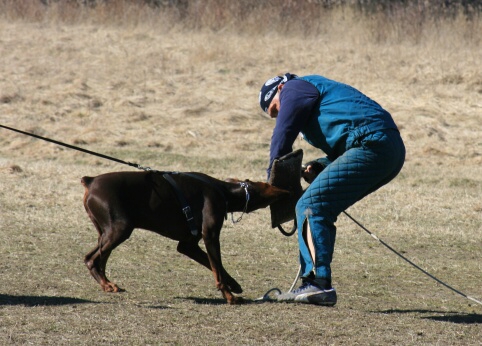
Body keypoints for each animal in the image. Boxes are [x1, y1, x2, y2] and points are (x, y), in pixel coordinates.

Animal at [80, 172, 288, 304]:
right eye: (268, 186)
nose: (286, 191)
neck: (224, 191)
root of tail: (90, 181)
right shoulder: (210, 236)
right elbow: (217, 268)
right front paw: (230, 297)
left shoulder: (188, 245)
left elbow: (216, 267)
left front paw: (234, 285)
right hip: (120, 228)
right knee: (92, 258)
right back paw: (106, 284)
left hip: (105, 232)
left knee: (95, 258)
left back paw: (107, 283)